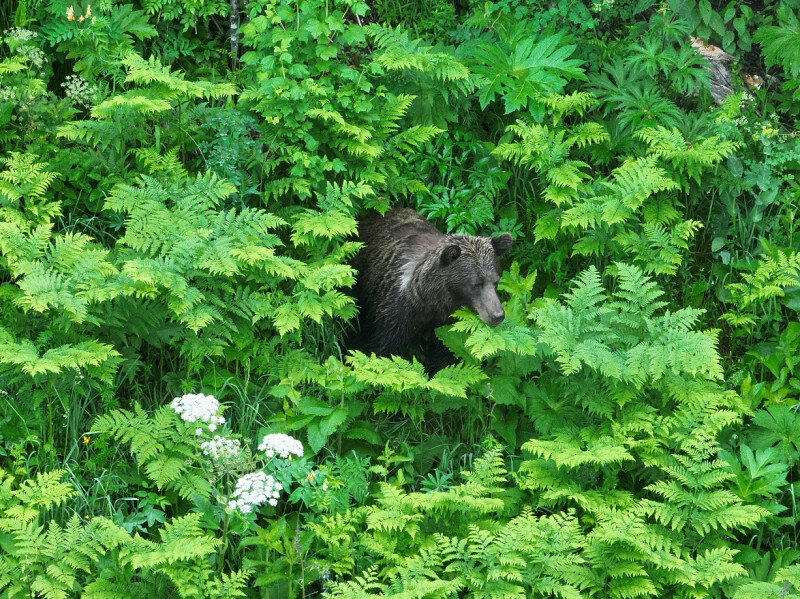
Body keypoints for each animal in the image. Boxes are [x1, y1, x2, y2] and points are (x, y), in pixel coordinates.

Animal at [350, 210, 512, 370]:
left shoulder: (446, 324)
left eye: (496, 281)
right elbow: (383, 349)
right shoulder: (396, 314)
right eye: (476, 284)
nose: (497, 315)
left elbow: (444, 355)